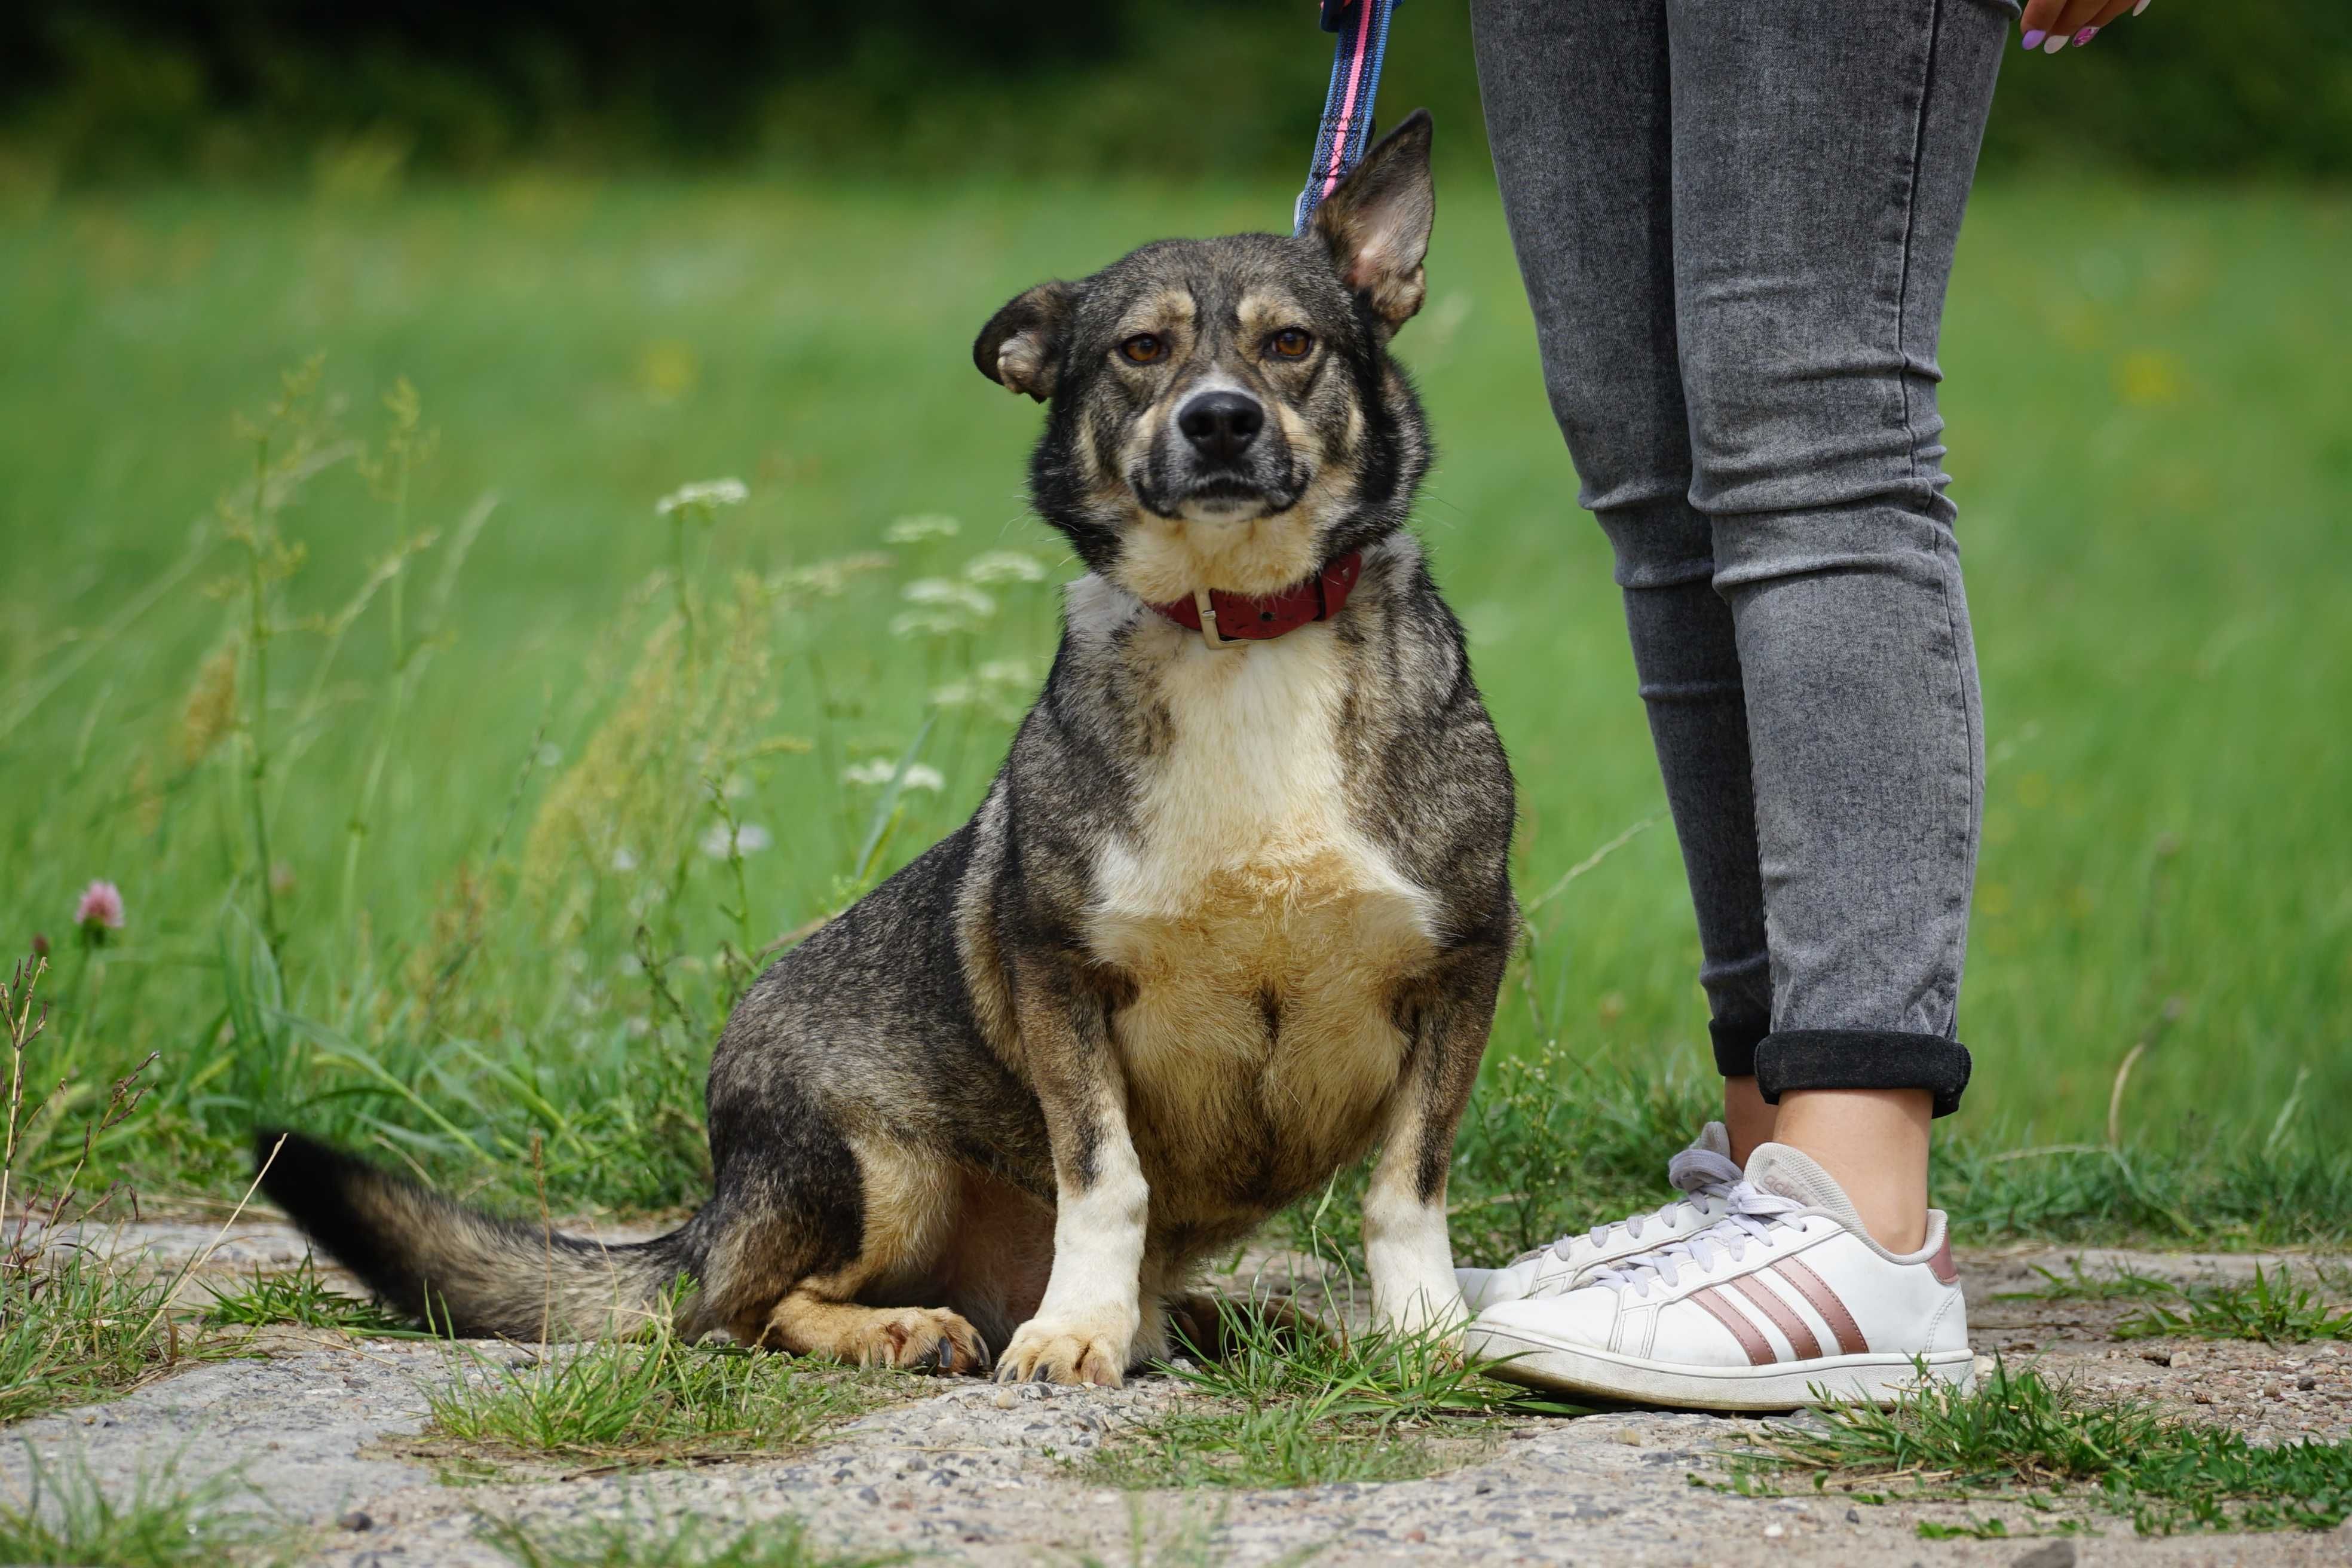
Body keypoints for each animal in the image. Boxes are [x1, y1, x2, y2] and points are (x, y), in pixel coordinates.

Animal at [262, 110, 1966, 1410]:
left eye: (1291, 344)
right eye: (1140, 352)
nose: (1217, 421)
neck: (1248, 630)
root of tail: (709, 1196)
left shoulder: (1460, 964)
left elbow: (1404, 1187)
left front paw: (1415, 1325)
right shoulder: (1060, 974)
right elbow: (1109, 1181)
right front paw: (1073, 1333)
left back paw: (1228, 1319)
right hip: (867, 1164)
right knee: (734, 1315)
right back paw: (915, 1323)